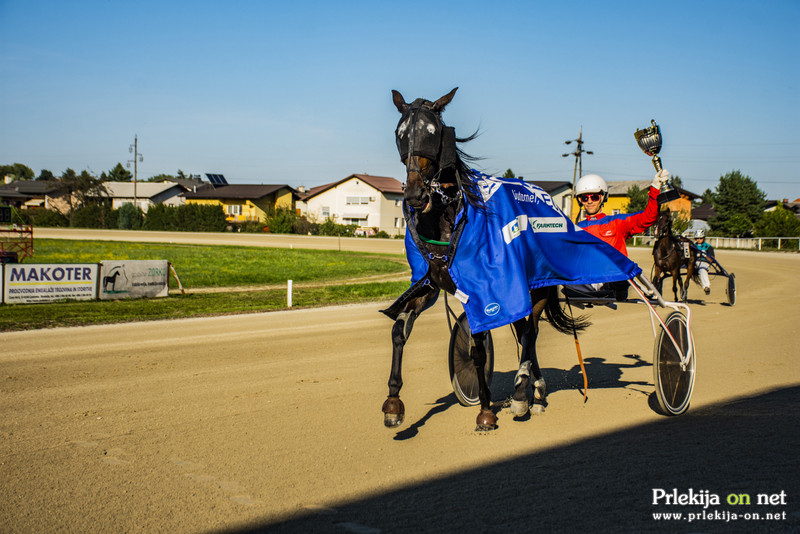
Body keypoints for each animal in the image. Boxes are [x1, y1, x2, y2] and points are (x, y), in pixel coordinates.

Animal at [382, 88, 588, 432]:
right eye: (399, 133)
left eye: (432, 132)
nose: (413, 196)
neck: (447, 214)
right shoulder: (429, 286)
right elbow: (399, 331)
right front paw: (394, 403)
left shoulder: (484, 288)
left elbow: (478, 348)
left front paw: (487, 410)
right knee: (526, 332)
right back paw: (534, 389)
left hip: (537, 288)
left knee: (530, 332)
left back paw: (522, 393)